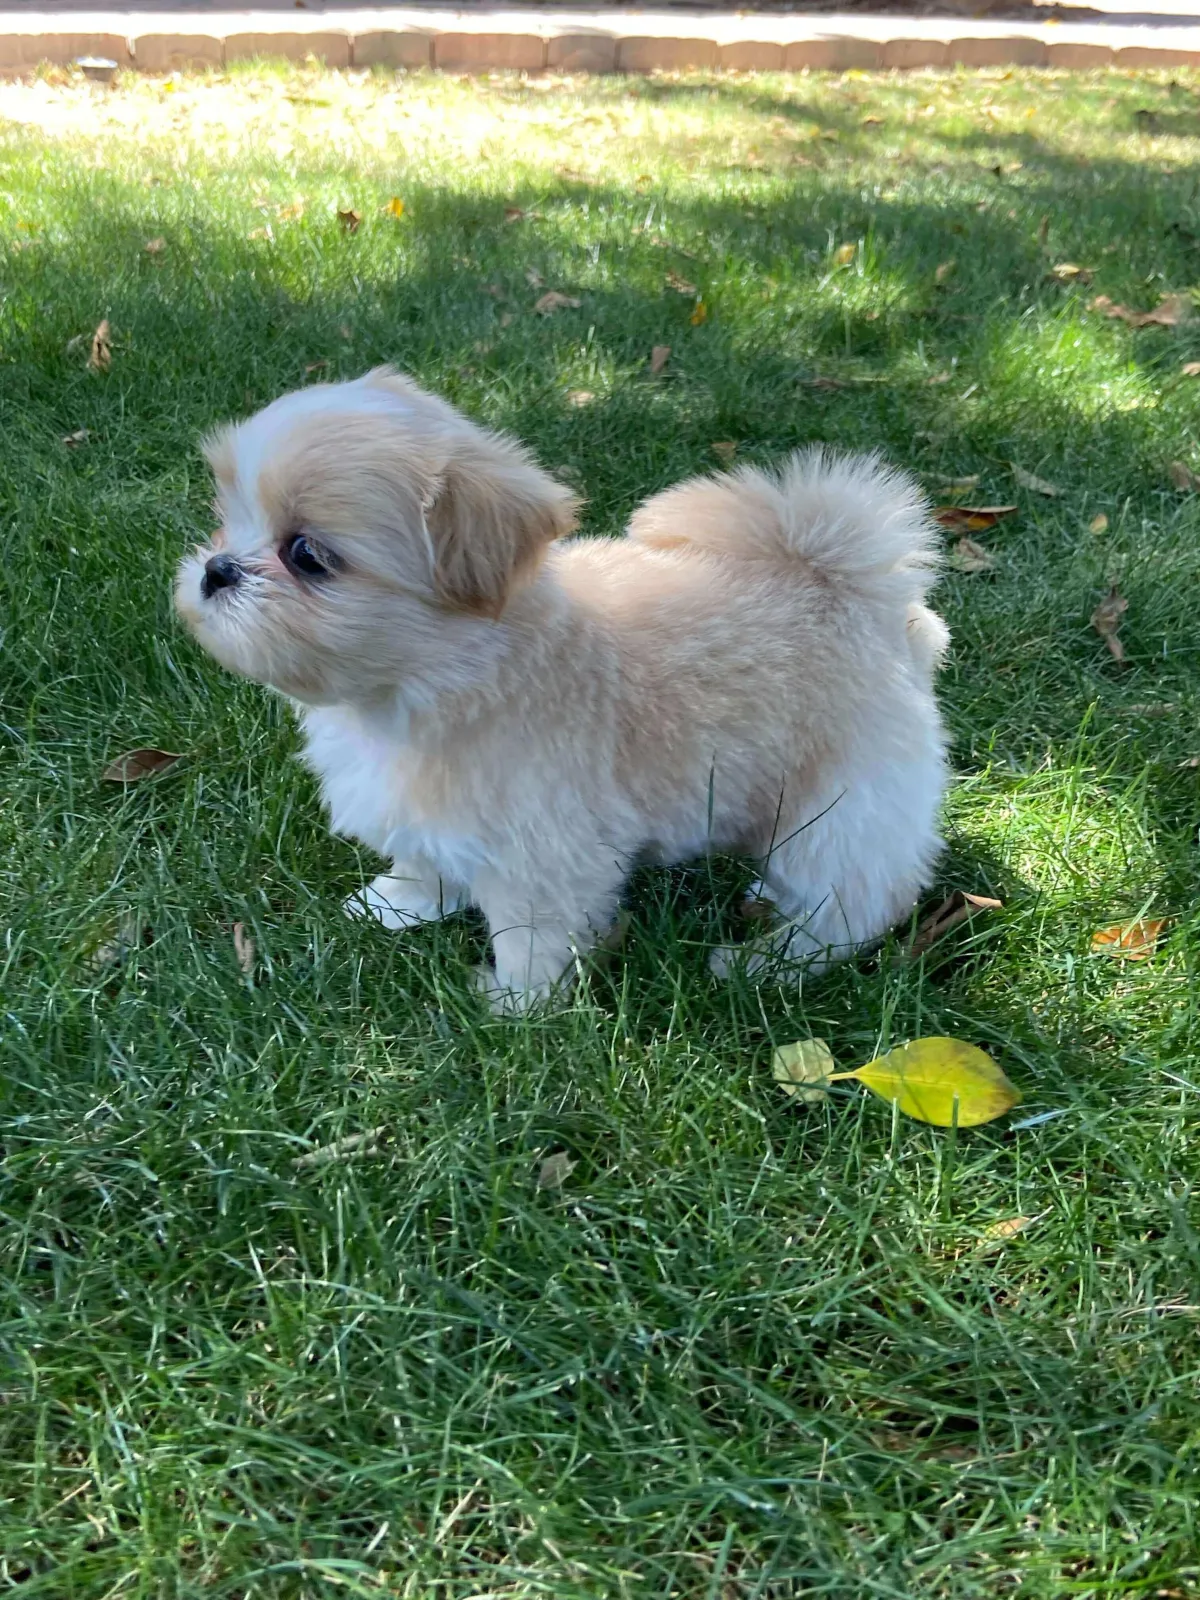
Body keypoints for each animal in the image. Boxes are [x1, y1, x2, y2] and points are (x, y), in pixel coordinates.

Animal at [176, 368, 947, 1004]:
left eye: (307, 555)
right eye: (226, 518)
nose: (216, 569)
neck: (435, 683)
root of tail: (847, 589)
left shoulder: (544, 857)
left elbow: (532, 938)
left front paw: (515, 1005)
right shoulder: (427, 814)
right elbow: (423, 862)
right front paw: (395, 905)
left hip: (842, 802)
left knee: (856, 898)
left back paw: (769, 963)